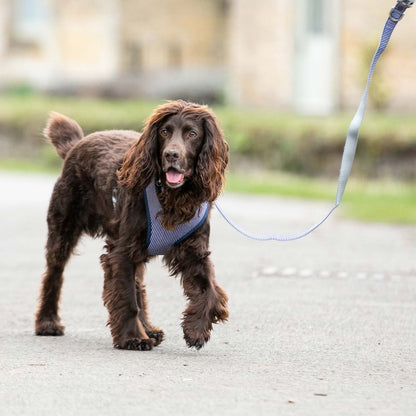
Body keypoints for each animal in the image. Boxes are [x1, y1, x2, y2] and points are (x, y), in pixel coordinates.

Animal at [35, 100, 231, 348]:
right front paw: (133, 337)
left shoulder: (194, 250)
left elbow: (209, 290)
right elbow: (127, 298)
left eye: (192, 133)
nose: (171, 154)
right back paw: (47, 322)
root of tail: (76, 145)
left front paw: (196, 330)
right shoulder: (121, 251)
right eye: (164, 131)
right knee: (54, 275)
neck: (172, 199)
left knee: (138, 284)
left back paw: (150, 329)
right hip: (64, 226)